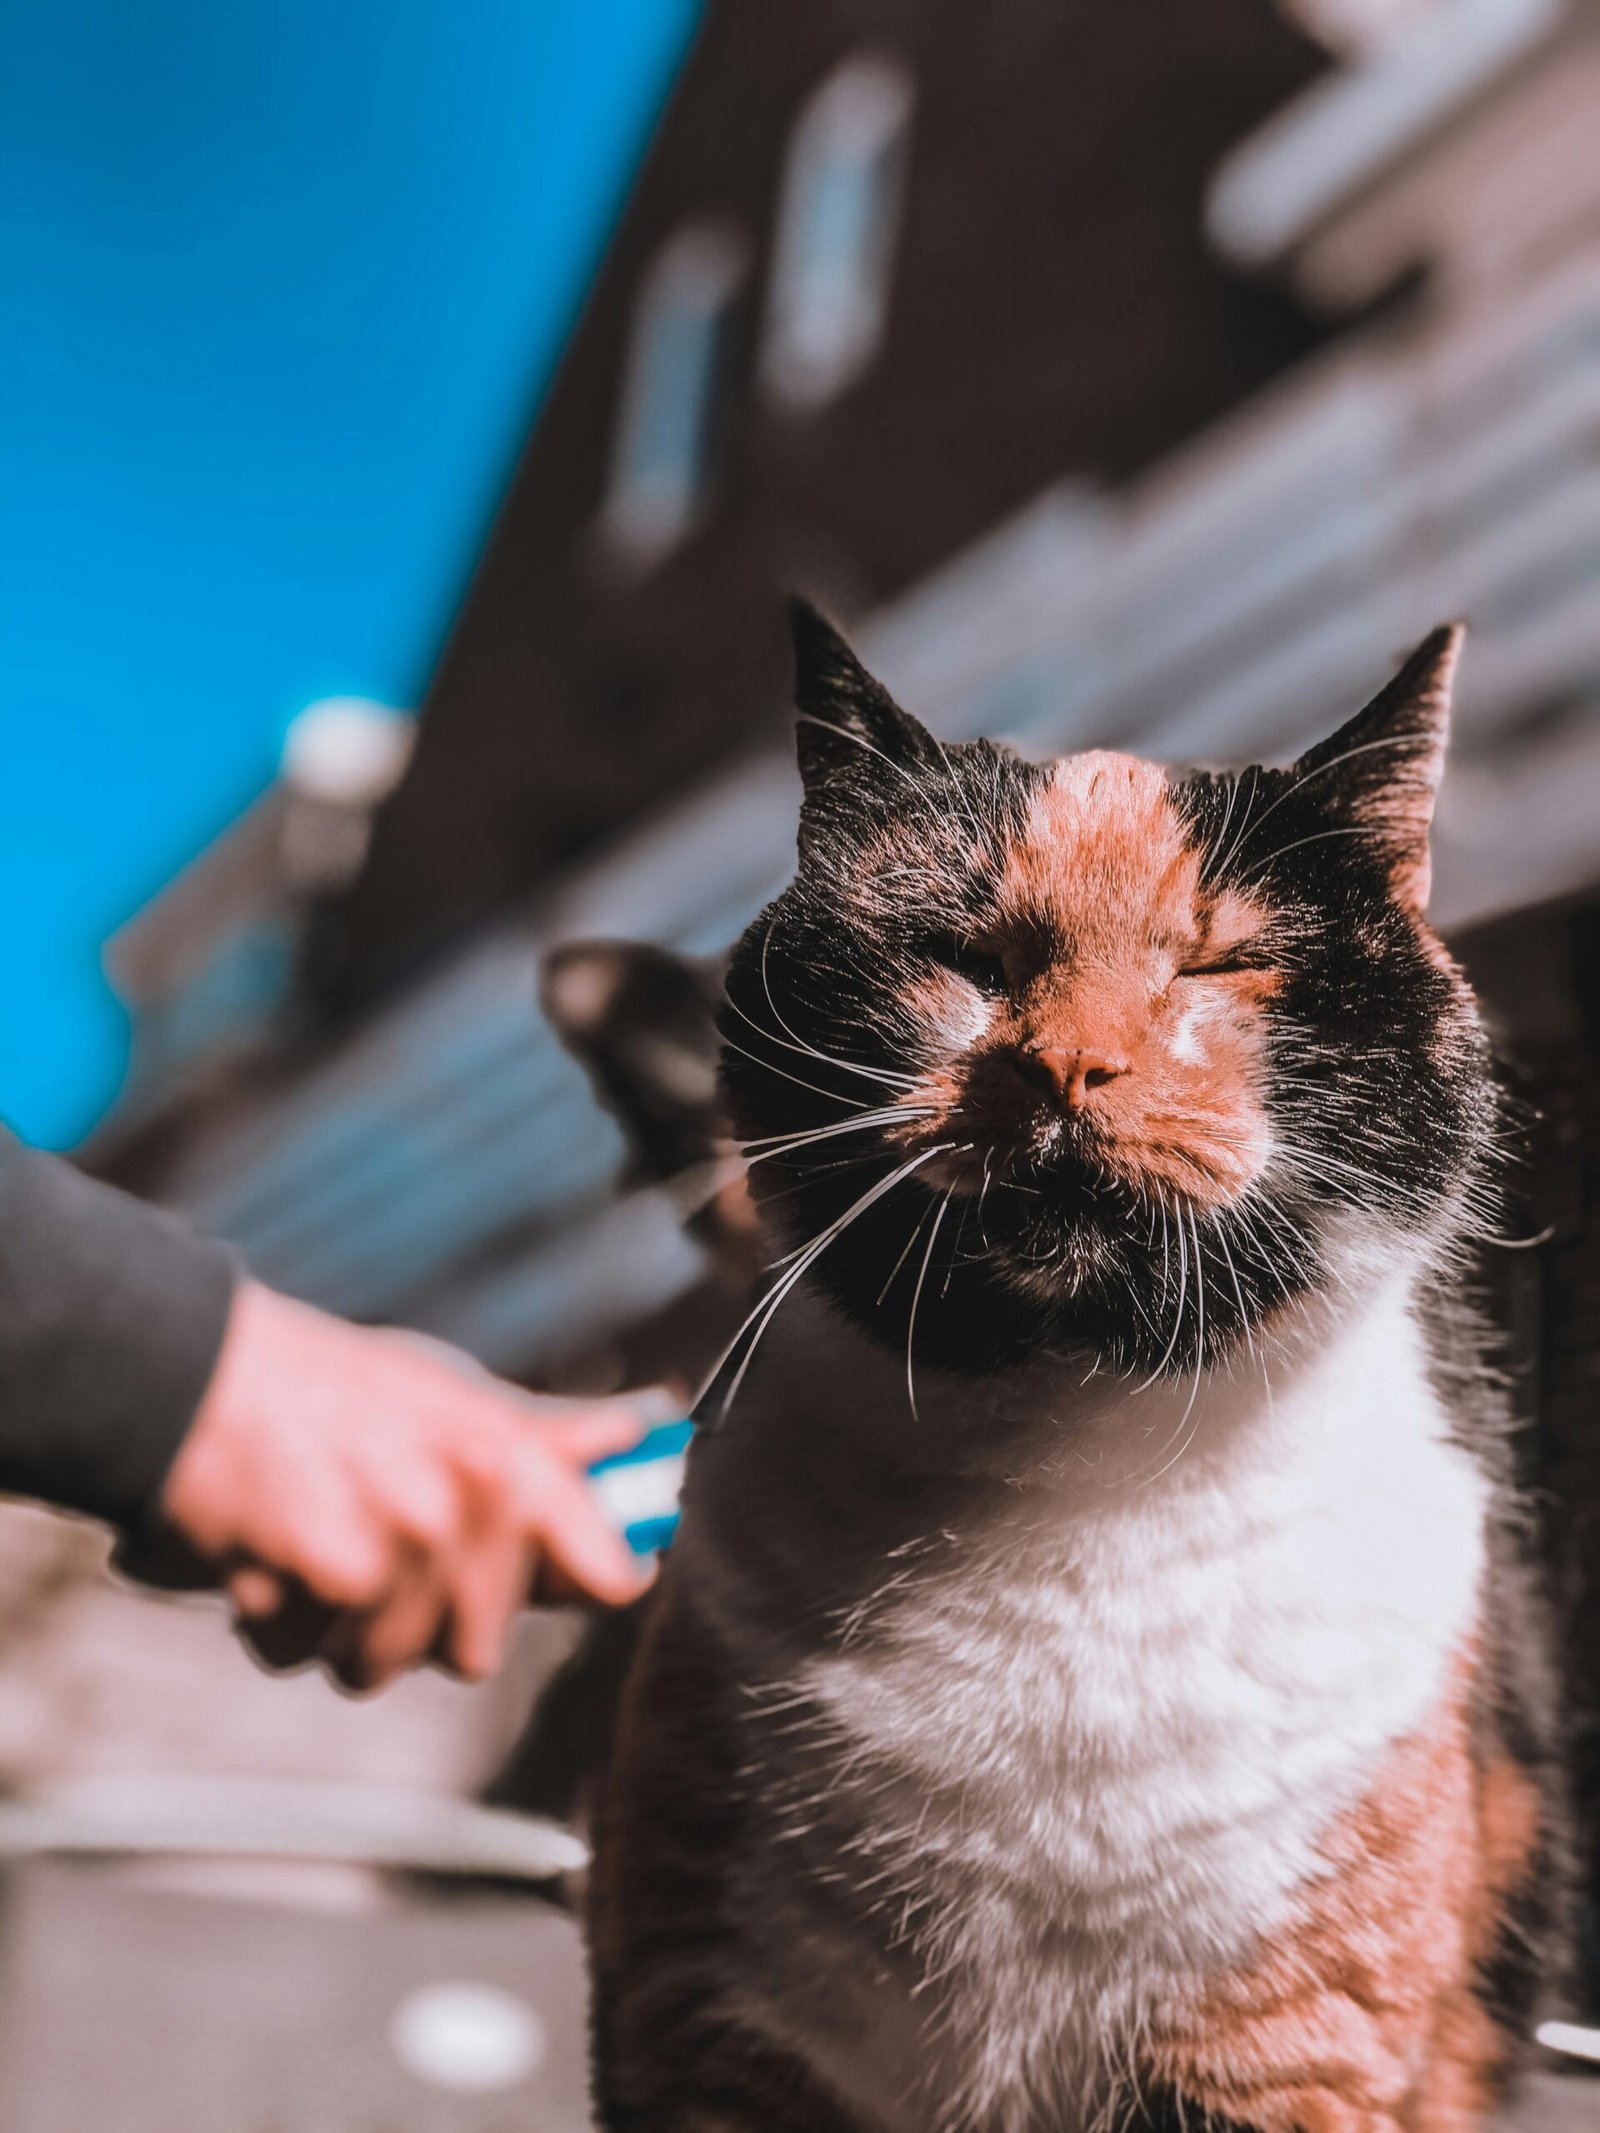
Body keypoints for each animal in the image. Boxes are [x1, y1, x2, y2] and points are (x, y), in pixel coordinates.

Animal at [588, 601, 1570, 2133]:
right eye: (964, 955)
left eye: (1219, 965)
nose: (1066, 1067)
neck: (1069, 1464)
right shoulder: (699, 2024)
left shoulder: (1290, 2051)